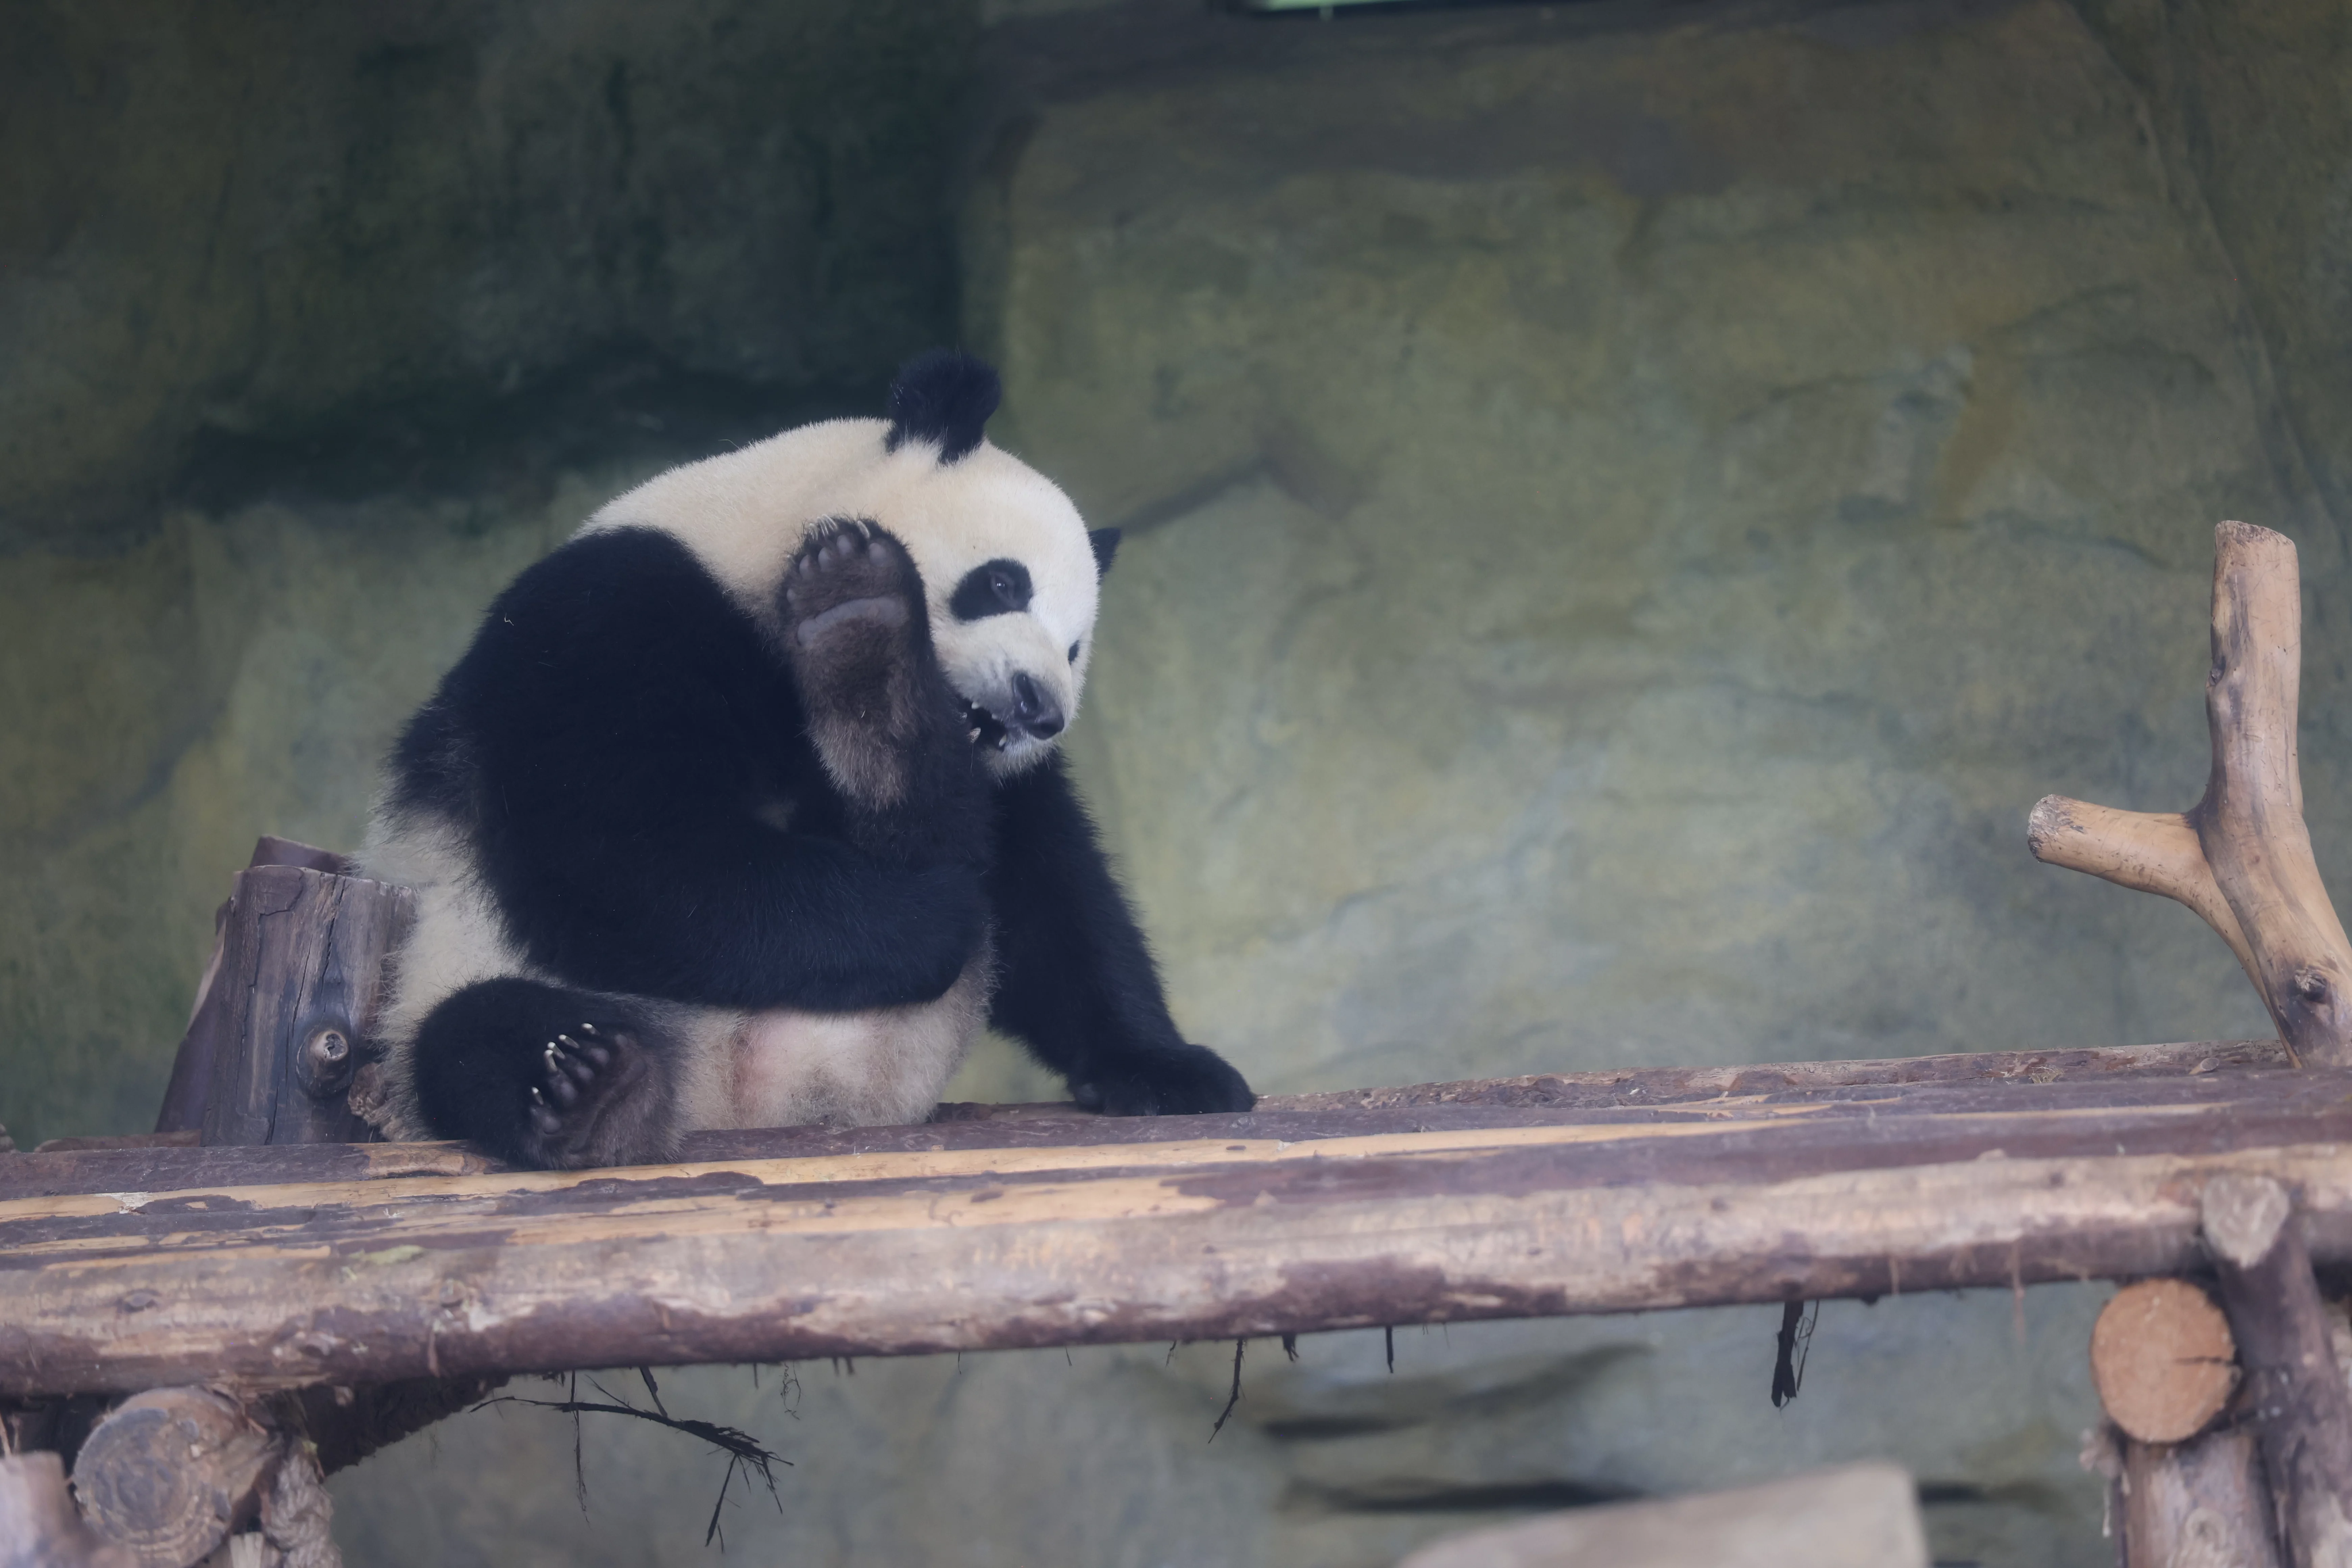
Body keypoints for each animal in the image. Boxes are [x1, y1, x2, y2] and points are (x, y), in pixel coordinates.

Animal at [357, 350, 1254, 1169]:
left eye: (1074, 649)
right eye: (1003, 583)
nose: (1039, 710)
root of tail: (737, 1105)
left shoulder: (1011, 791)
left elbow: (1056, 903)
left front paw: (1168, 1069)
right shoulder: (610, 616)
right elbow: (620, 855)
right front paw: (929, 920)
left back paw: (876, 692)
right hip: (448, 973)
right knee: (475, 1035)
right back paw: (596, 1093)